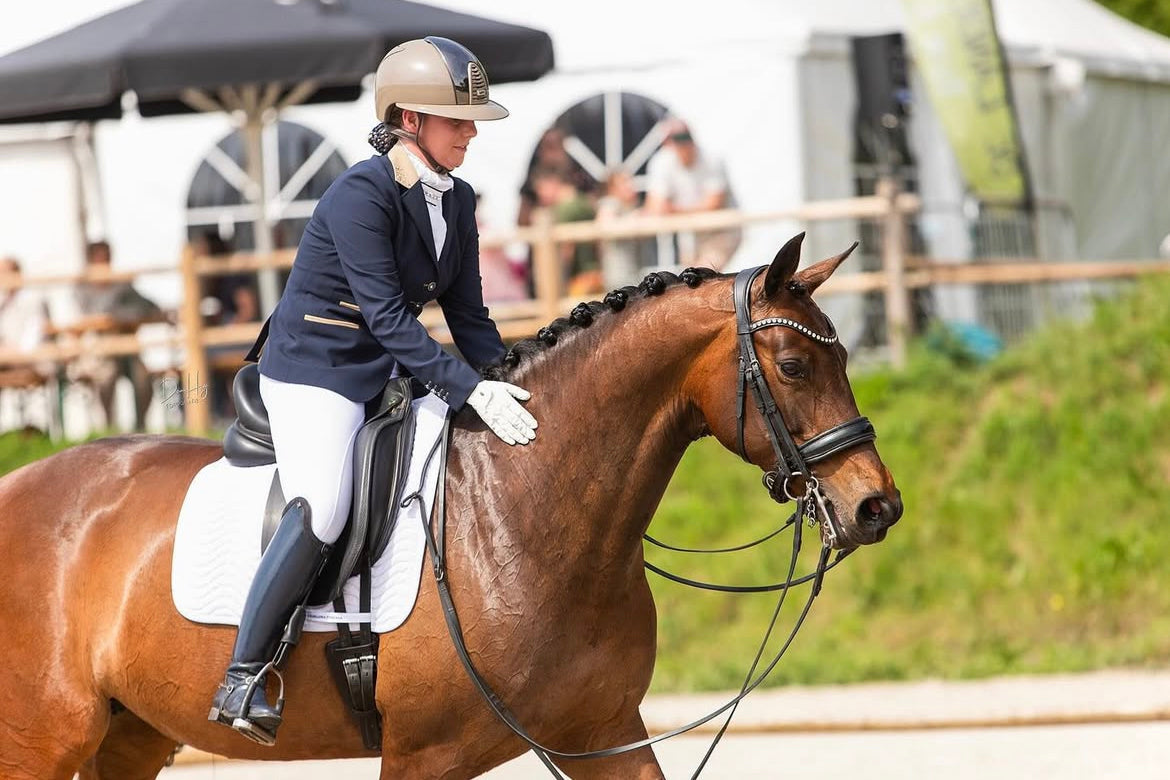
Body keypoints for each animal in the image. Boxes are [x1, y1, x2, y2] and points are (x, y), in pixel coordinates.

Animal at [0, 234, 901, 780]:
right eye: (793, 365)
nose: (875, 509)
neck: (527, 510)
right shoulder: (425, 758)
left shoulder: (603, 735)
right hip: (42, 735)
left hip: (129, 731)